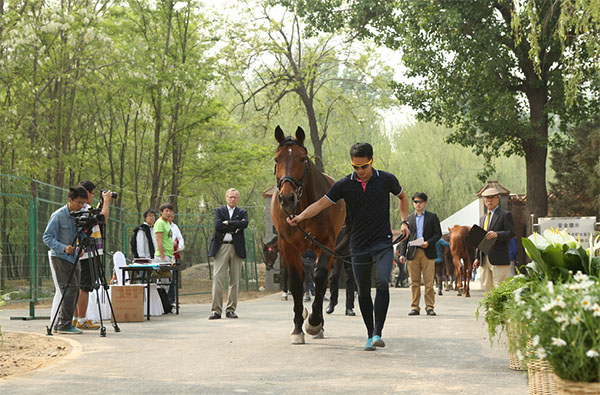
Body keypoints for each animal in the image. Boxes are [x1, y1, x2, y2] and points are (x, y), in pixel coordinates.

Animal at [272, 126, 346, 344]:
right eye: (276, 159)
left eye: (303, 158)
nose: (286, 198)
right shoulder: (288, 247)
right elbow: (297, 283)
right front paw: (298, 328)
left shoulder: (327, 244)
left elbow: (320, 277)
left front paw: (313, 323)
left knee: (322, 280)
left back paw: (318, 323)